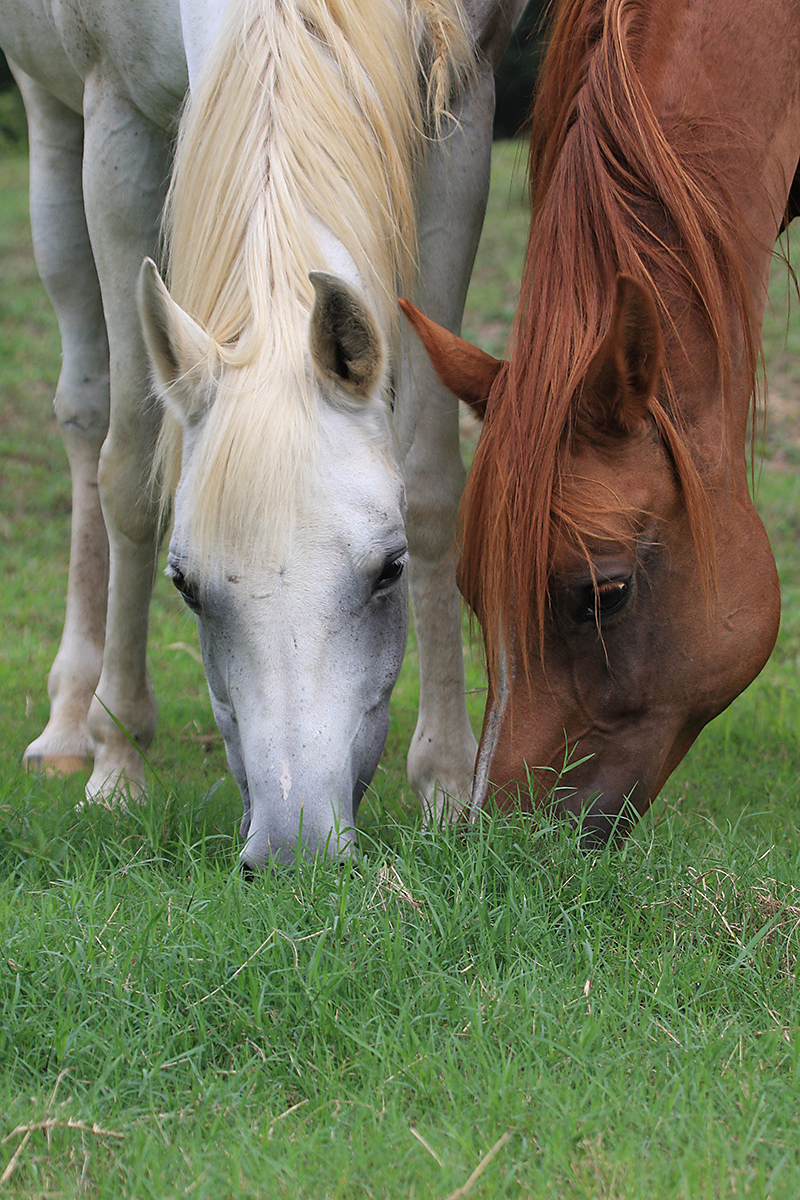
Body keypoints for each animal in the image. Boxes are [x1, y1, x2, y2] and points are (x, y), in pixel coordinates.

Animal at [0, 0, 525, 864]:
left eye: (389, 570)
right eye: (186, 586)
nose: (294, 849)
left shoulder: (461, 118)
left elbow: (429, 477)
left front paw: (447, 781)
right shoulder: (117, 123)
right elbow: (131, 468)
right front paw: (118, 764)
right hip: (52, 122)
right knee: (87, 415)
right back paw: (74, 720)